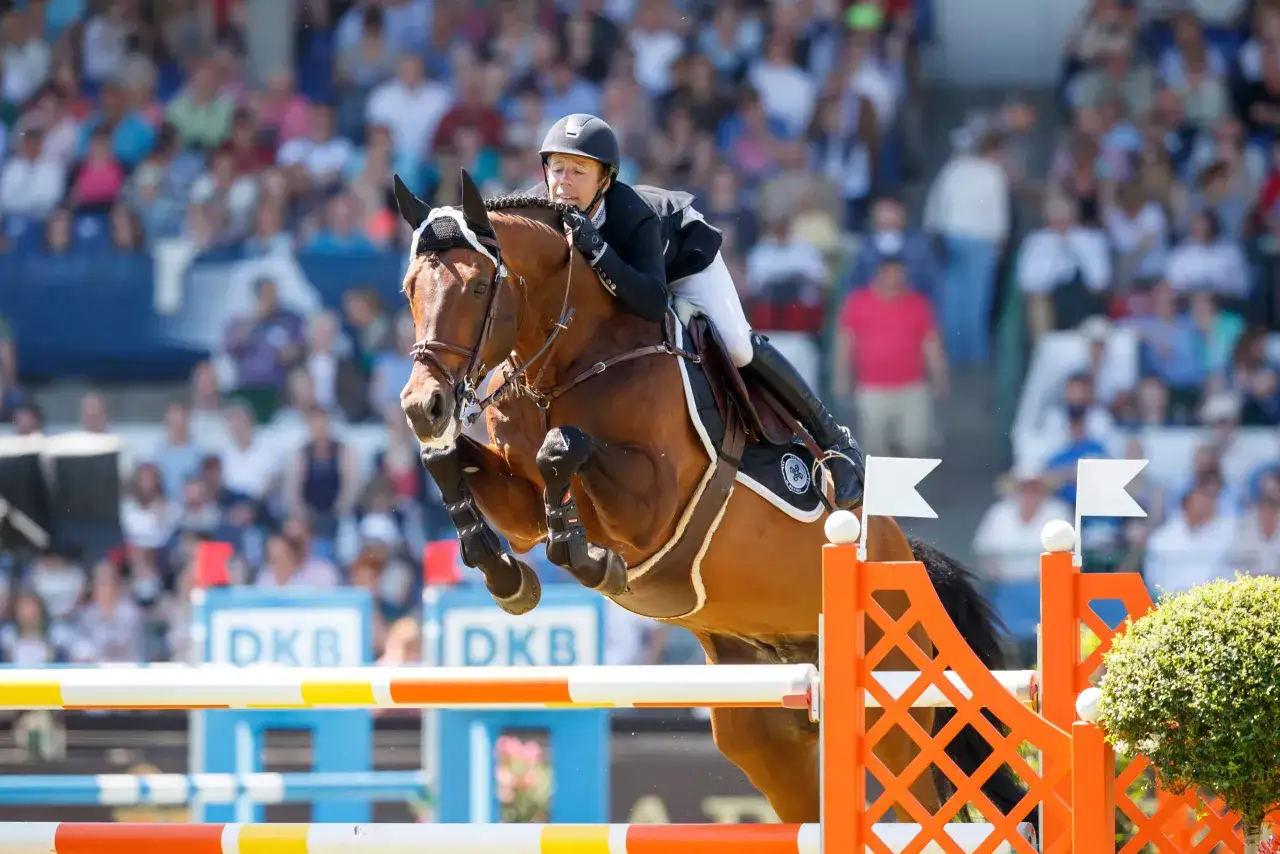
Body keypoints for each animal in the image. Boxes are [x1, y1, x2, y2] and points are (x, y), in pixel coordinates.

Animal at [393, 168, 1028, 825]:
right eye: (410, 289)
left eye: (475, 288)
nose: (422, 407)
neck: (568, 363)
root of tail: (905, 555)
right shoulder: (520, 507)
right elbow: (449, 464)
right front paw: (504, 574)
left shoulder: (651, 502)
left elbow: (564, 447)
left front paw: (586, 557)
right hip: (764, 731)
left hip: (893, 716)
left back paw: (844, 466)